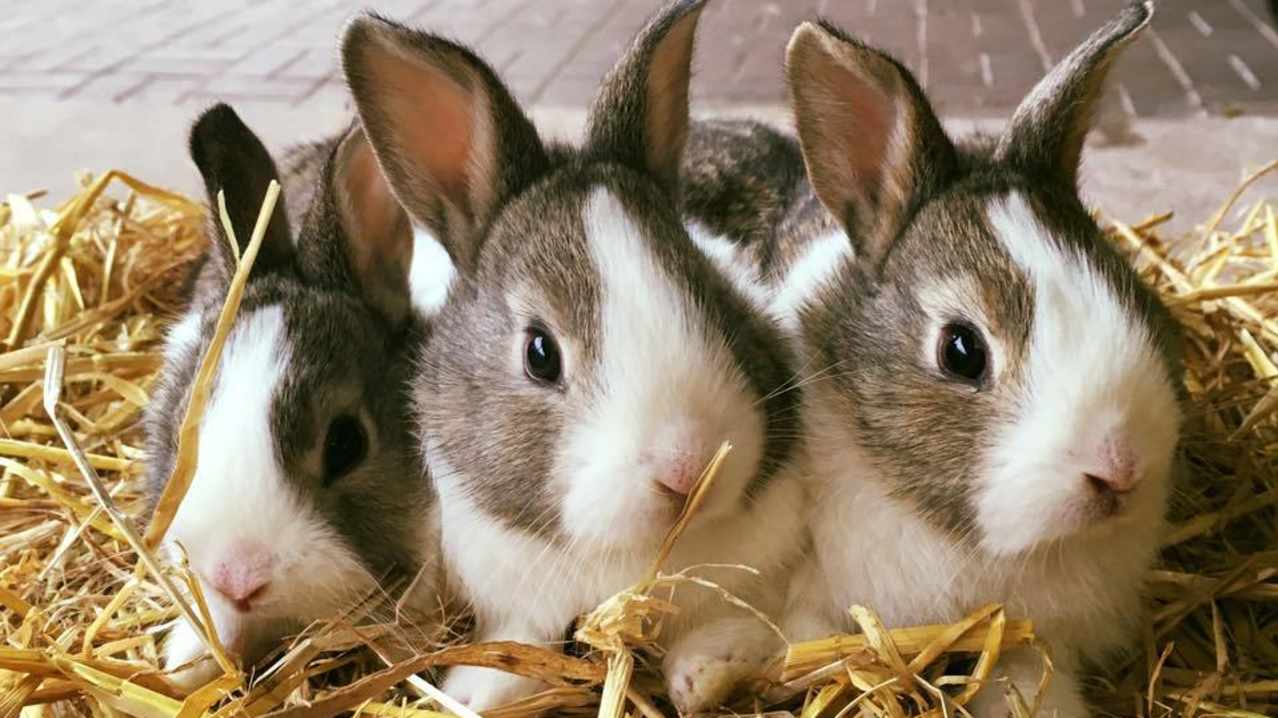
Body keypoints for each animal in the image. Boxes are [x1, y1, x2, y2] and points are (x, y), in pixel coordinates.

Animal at [340, 0, 807, 712]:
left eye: (717, 296)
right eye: (540, 353)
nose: (687, 469)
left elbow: (759, 626)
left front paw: (702, 673)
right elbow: (519, 640)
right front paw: (475, 690)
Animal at [680, 2, 1183, 715]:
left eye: (1136, 291)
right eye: (962, 351)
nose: (1120, 469)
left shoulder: (1032, 641)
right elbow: (787, 631)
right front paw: (697, 674)